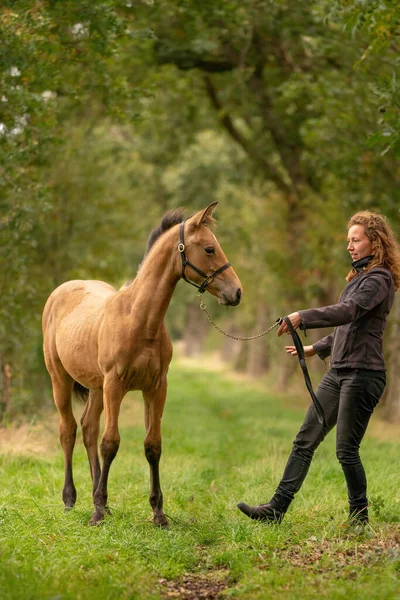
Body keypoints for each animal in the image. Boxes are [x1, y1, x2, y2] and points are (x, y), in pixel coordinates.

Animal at [42, 202, 242, 524]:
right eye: (210, 249)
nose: (236, 292)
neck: (139, 319)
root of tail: (62, 290)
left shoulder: (156, 387)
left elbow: (152, 445)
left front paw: (158, 513)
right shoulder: (115, 385)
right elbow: (111, 443)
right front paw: (97, 513)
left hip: (96, 387)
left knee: (88, 428)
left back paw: (99, 498)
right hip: (60, 378)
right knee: (68, 431)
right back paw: (71, 499)